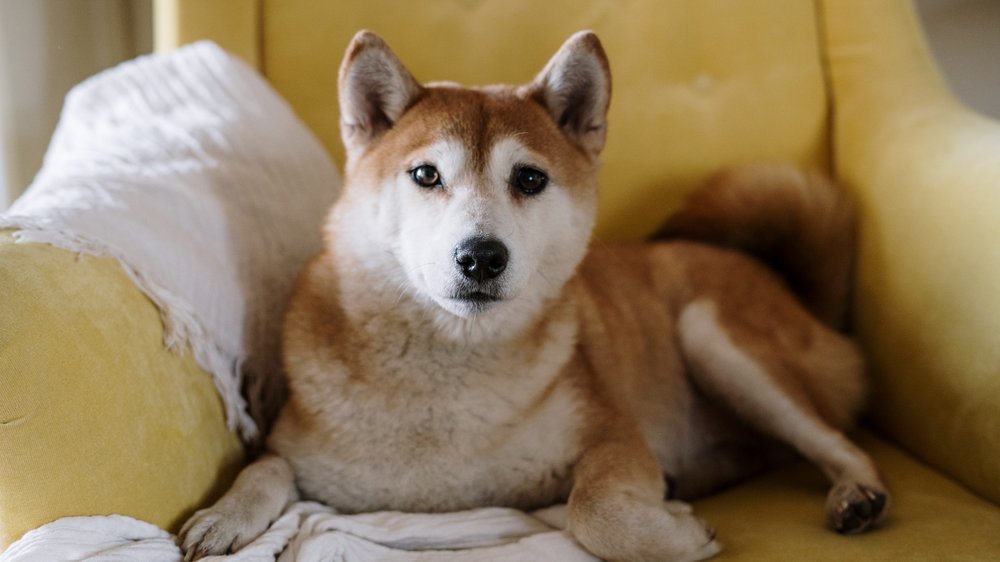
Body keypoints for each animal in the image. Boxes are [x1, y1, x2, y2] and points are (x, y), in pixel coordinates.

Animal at [182, 29, 892, 560]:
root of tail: (793, 288)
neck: (447, 378)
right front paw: (223, 516)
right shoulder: (293, 450)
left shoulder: (613, 436)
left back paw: (856, 493)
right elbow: (263, 470)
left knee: (842, 442)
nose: (480, 256)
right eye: (425, 174)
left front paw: (675, 533)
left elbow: (595, 511)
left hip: (713, 338)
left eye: (528, 178)